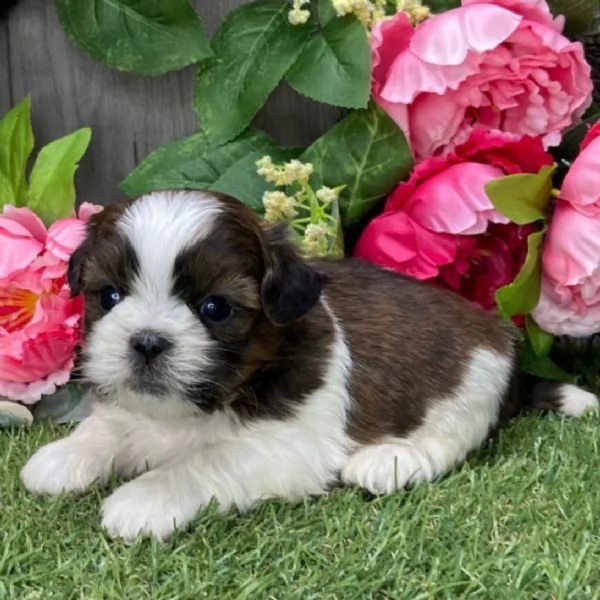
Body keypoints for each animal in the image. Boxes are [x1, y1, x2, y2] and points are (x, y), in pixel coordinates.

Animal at [21, 190, 596, 540]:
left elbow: (202, 461)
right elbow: (111, 425)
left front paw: (144, 498)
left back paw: (391, 460)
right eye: (109, 296)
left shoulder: (286, 447)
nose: (146, 342)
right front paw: (67, 456)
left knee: (451, 438)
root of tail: (500, 339)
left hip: (473, 382)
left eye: (215, 308)